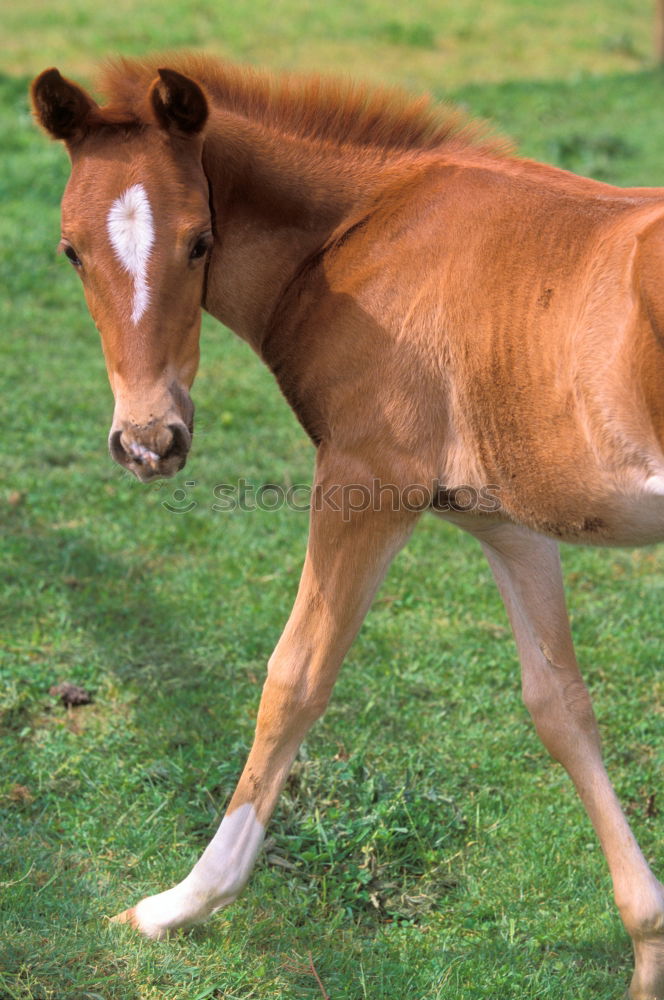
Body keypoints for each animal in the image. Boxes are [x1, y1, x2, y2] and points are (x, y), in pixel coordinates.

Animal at [32, 56, 664, 1000]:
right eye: (72, 250)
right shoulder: (511, 524)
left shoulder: (367, 482)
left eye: (200, 241)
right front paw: (649, 944)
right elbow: (559, 704)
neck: (363, 236)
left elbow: (295, 678)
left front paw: (178, 906)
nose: (149, 442)